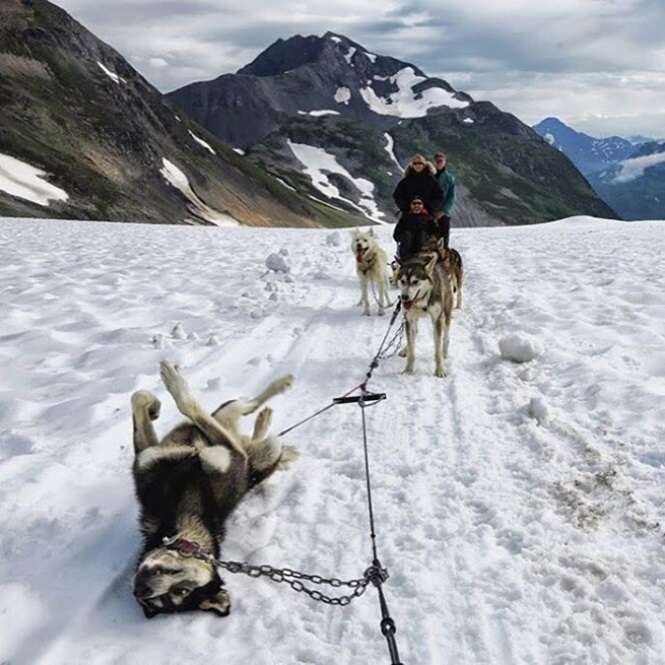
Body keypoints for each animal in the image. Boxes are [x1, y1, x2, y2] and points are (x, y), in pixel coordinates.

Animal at [131, 364, 294, 616]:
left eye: (182, 591)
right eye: (157, 600)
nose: (141, 589)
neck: (180, 511)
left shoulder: (232, 455)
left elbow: (187, 404)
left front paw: (170, 386)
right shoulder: (148, 456)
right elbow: (139, 397)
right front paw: (154, 406)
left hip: (262, 445)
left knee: (245, 408)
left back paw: (278, 390)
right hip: (242, 431)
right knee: (244, 415)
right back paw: (263, 420)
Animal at [396, 245, 454, 378]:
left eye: (415, 281)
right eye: (402, 281)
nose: (404, 297)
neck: (421, 301)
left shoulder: (437, 320)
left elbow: (437, 350)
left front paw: (440, 370)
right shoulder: (409, 319)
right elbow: (412, 348)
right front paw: (408, 369)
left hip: (446, 314)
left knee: (446, 335)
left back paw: (445, 351)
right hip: (413, 320)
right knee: (414, 333)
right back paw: (405, 349)